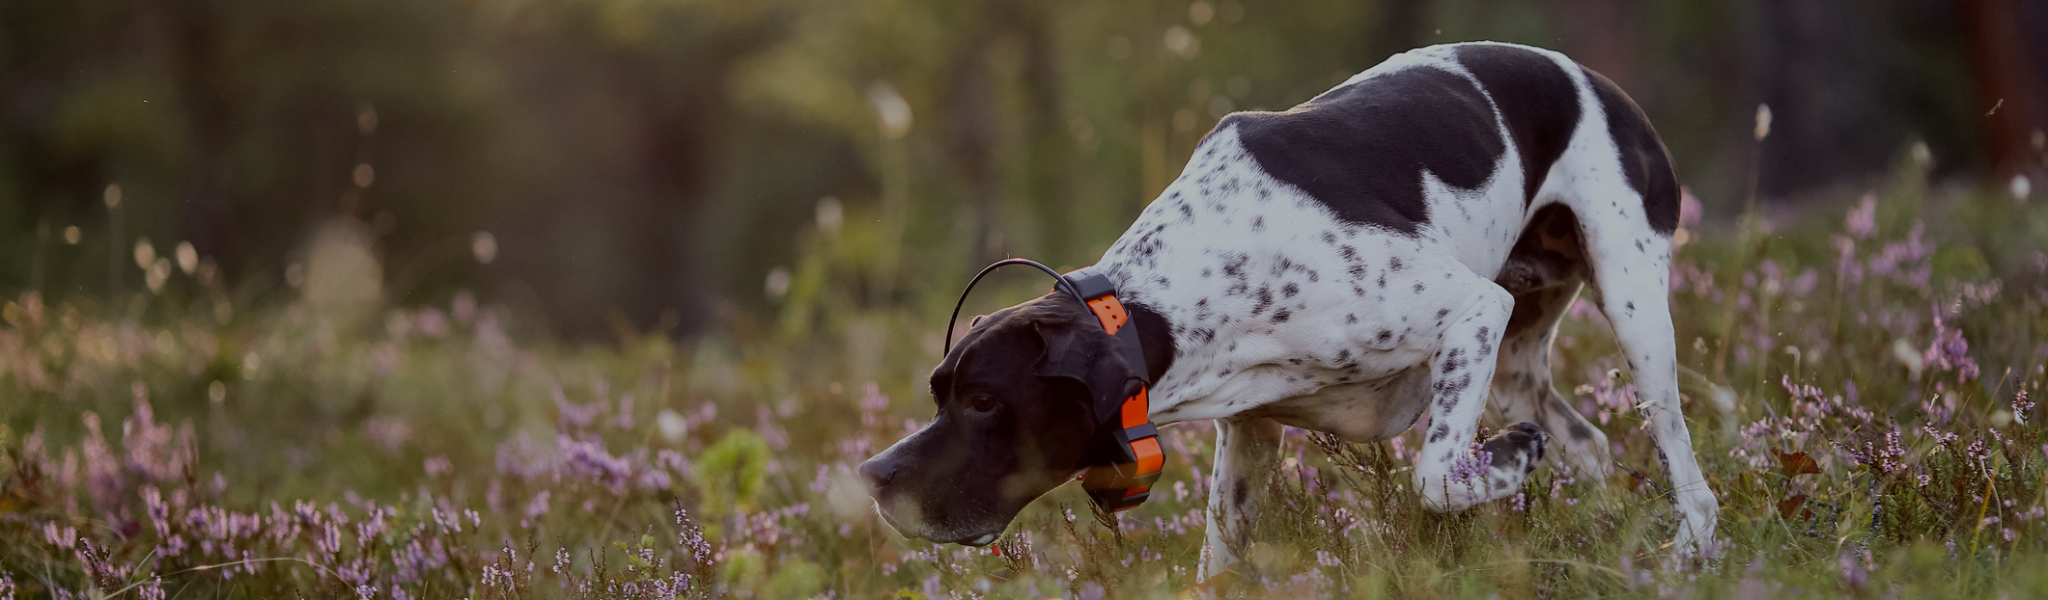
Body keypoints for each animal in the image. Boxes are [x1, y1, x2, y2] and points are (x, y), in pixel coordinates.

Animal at [856, 40, 1720, 573]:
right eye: (939, 393)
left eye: (983, 400)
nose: (872, 476)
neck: (1175, 296)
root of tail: (1600, 82)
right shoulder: (1250, 436)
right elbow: (1219, 561)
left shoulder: (1470, 310)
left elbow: (1437, 476)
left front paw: (1505, 461)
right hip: (1514, 361)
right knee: (1591, 446)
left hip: (1633, 313)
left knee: (1687, 473)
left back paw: (1691, 552)